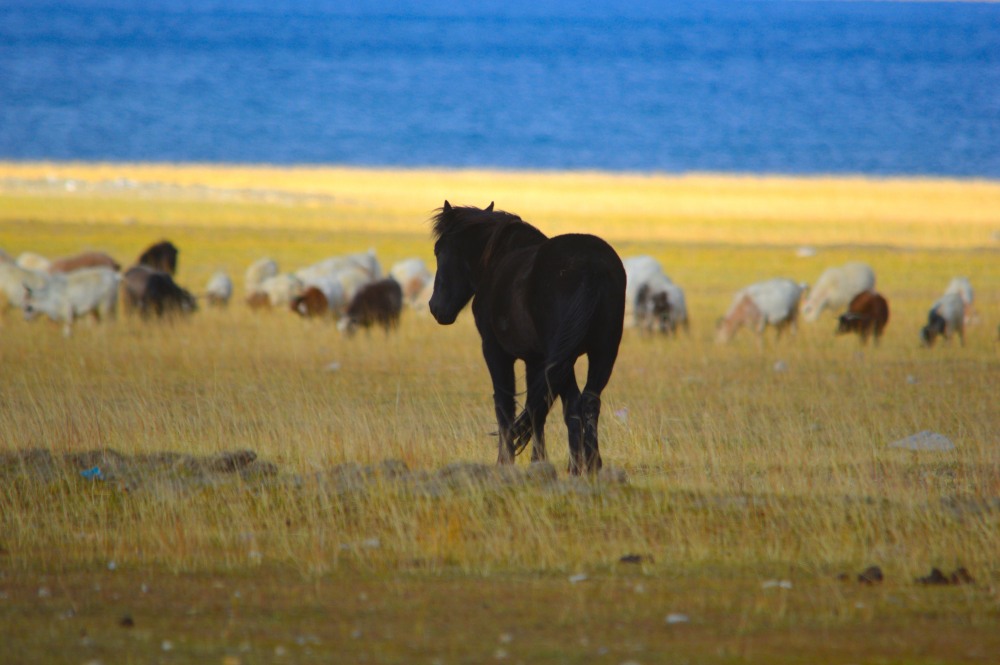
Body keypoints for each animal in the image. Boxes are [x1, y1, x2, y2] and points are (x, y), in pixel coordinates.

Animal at [428, 201, 626, 475]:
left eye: (438, 250)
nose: (435, 307)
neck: (497, 259)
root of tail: (591, 267)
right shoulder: (535, 360)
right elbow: (536, 410)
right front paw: (538, 462)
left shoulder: (495, 351)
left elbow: (505, 404)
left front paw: (505, 462)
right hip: (603, 352)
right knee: (588, 402)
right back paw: (592, 464)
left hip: (564, 358)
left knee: (573, 404)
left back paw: (577, 466)